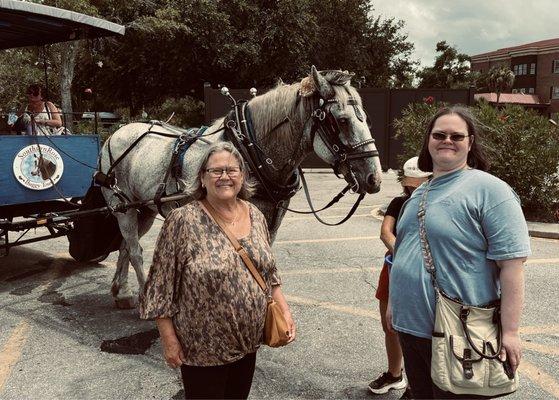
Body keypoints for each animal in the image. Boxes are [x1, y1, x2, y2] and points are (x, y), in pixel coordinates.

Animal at [98, 67, 382, 308]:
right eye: (342, 121)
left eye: (366, 119)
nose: (374, 178)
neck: (250, 149)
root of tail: (115, 134)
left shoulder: (270, 221)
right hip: (121, 206)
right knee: (135, 251)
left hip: (143, 209)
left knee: (126, 245)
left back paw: (122, 293)